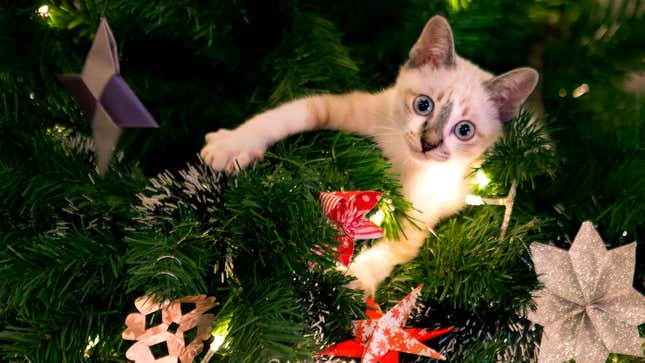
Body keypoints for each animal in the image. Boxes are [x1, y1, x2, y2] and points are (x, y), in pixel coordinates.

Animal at [201, 15, 540, 298]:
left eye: (464, 130)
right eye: (423, 105)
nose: (428, 144)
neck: (402, 161)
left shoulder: (425, 209)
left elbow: (396, 247)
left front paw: (355, 279)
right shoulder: (351, 109)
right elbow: (290, 113)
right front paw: (233, 144)